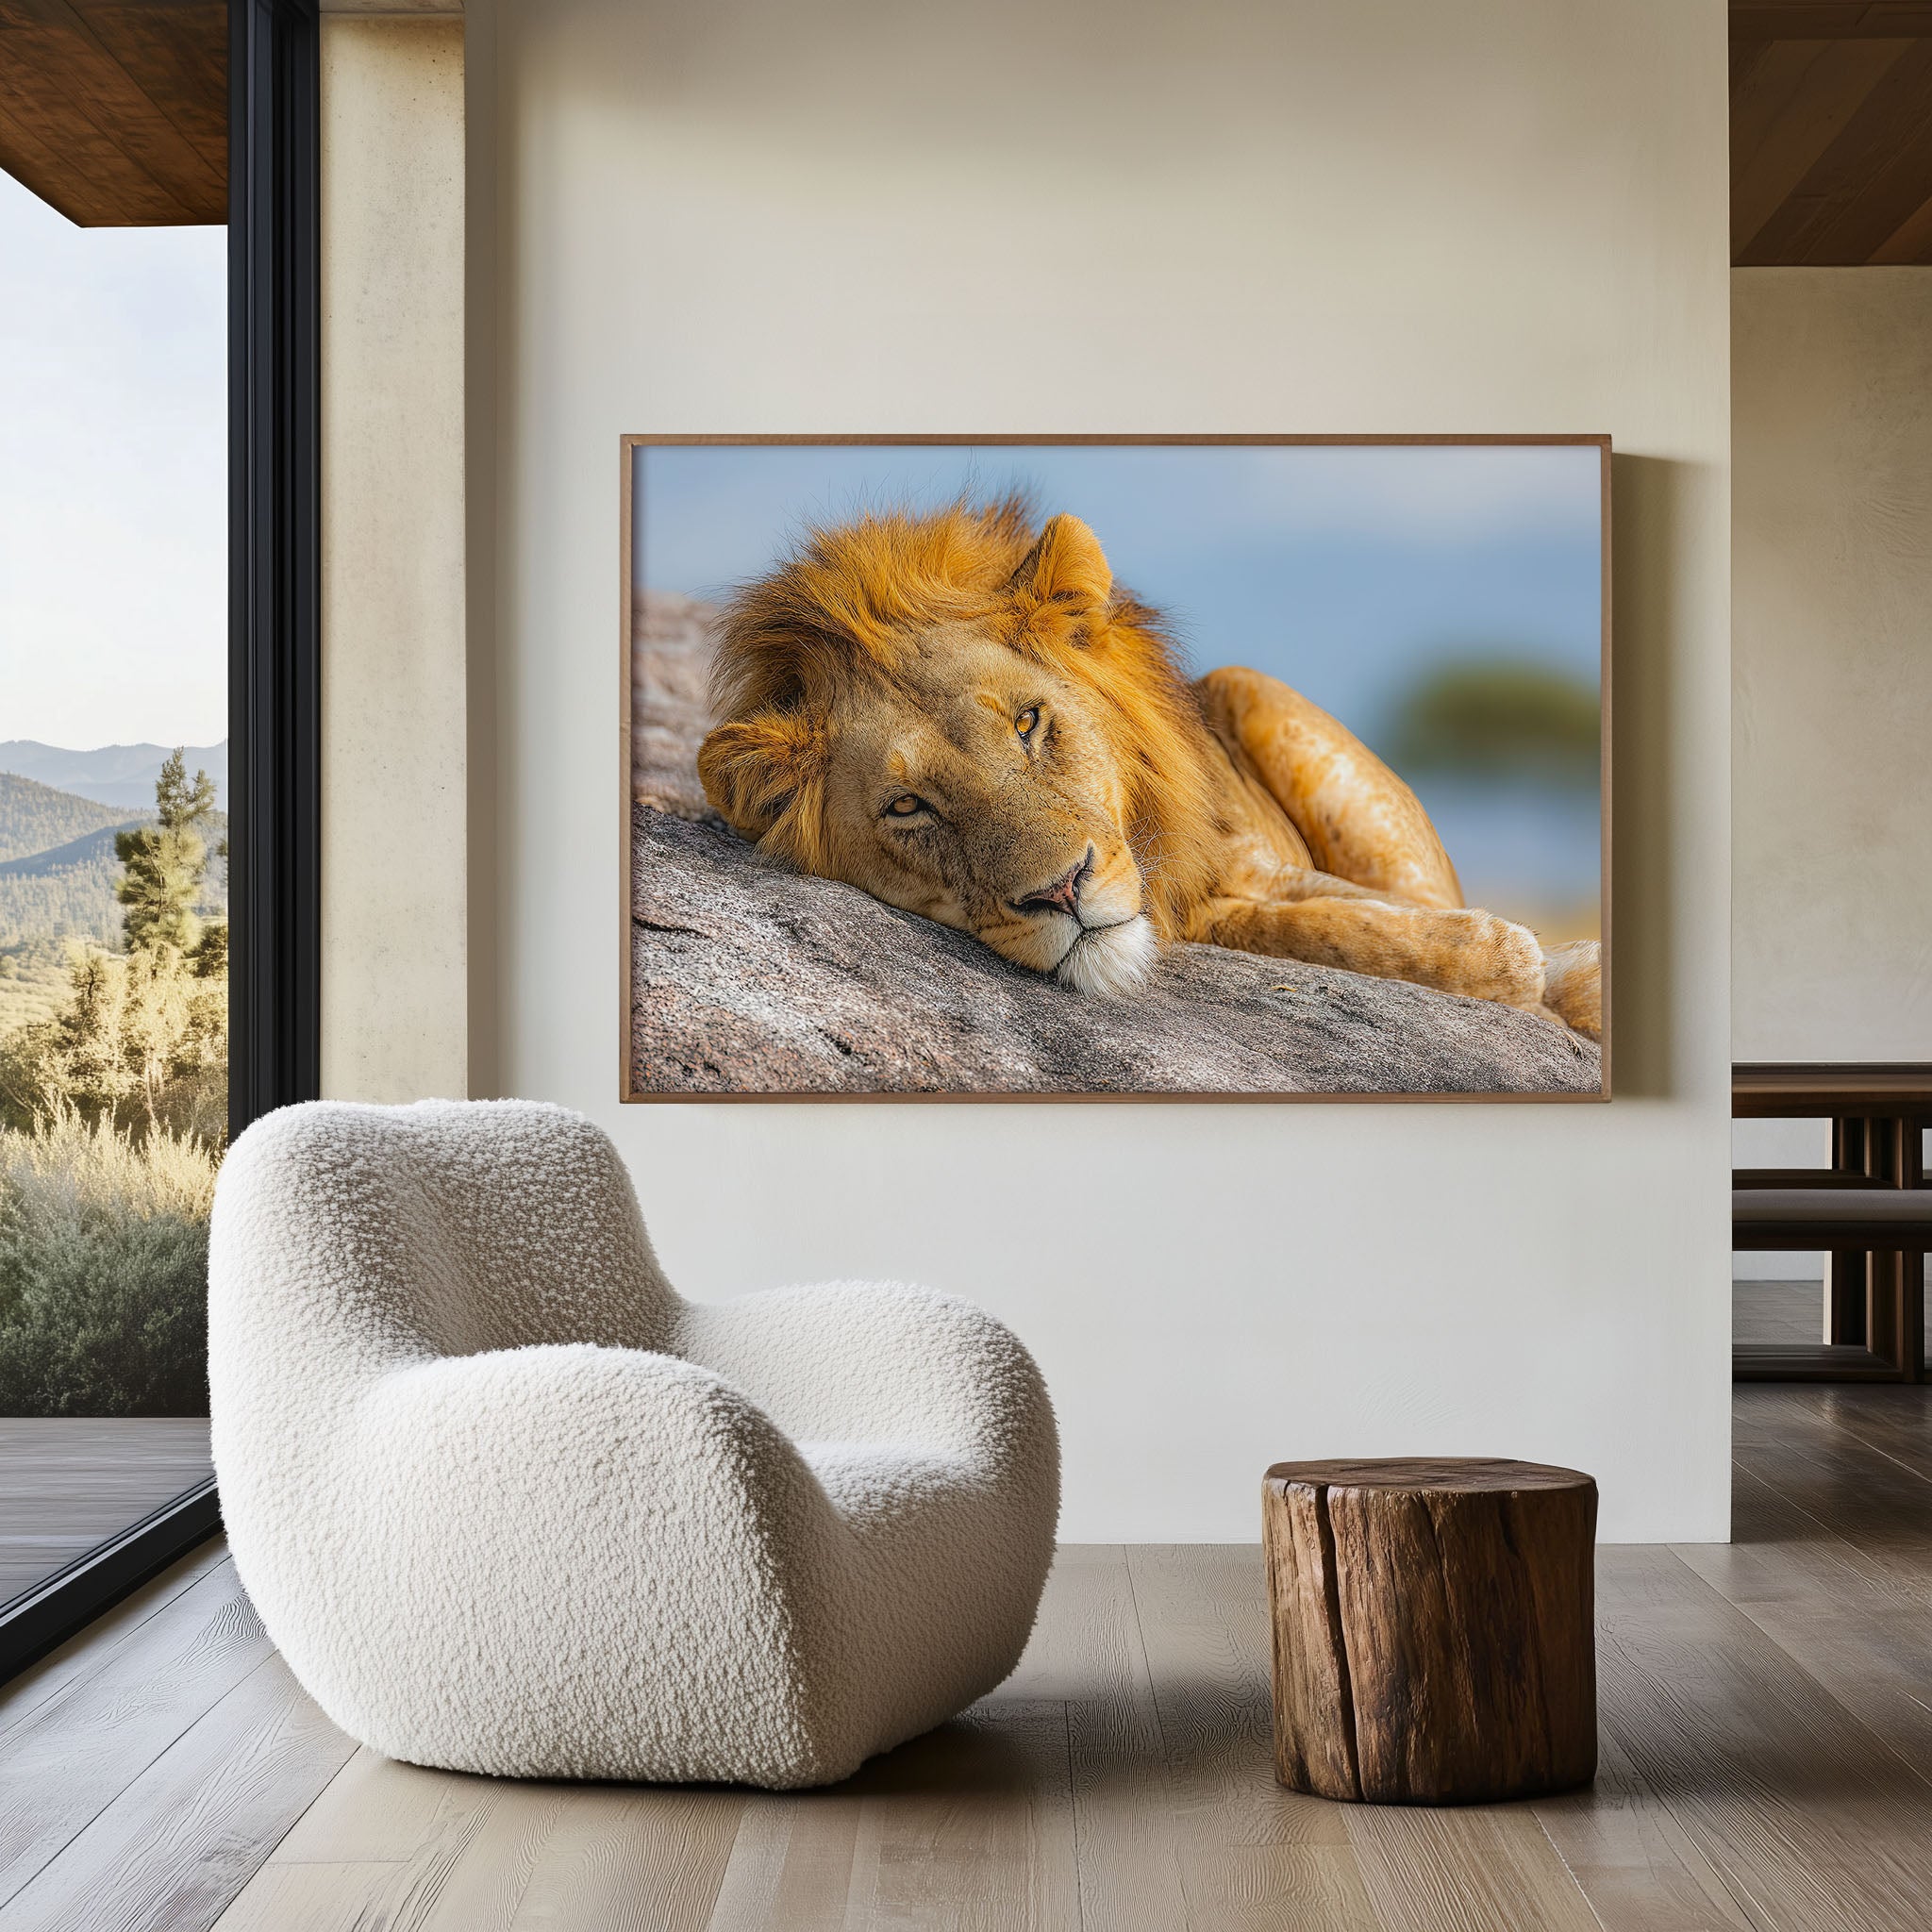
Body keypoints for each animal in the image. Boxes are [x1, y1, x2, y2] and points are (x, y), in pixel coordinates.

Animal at [696, 497, 1601, 1037]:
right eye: (908, 807)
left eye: (1028, 723)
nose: (1063, 891)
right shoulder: (1217, 902)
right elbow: (1322, 930)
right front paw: (1516, 959)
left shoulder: (1245, 859)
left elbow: (1359, 916)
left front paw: (1556, 965)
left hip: (1251, 687)